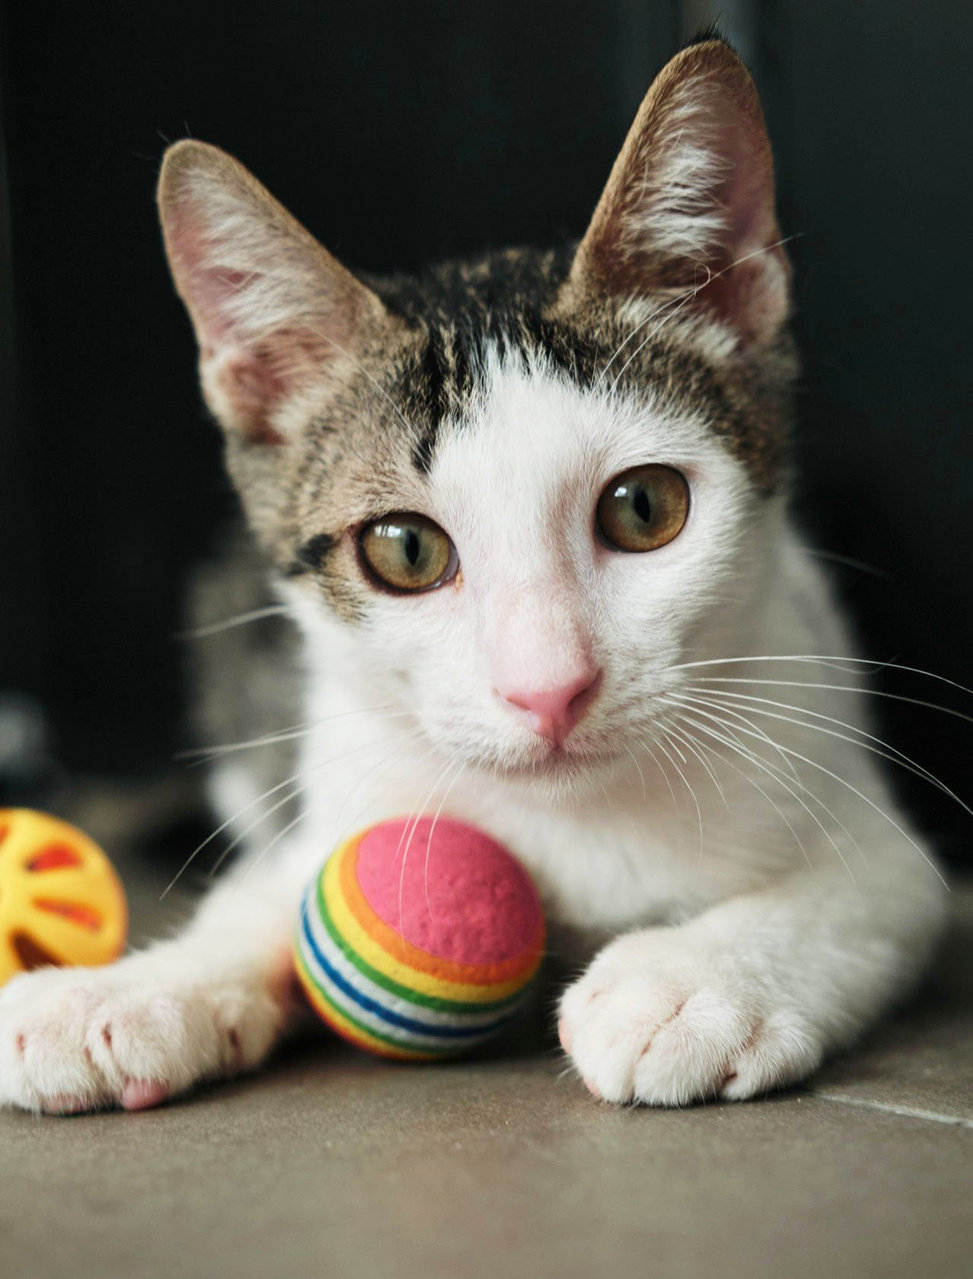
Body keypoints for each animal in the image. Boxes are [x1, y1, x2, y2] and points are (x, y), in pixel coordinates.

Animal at [0, 39, 941, 1110]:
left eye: (643, 508)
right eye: (404, 550)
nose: (549, 690)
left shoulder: (873, 822)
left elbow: (857, 891)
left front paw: (692, 981)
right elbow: (266, 892)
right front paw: (127, 990)